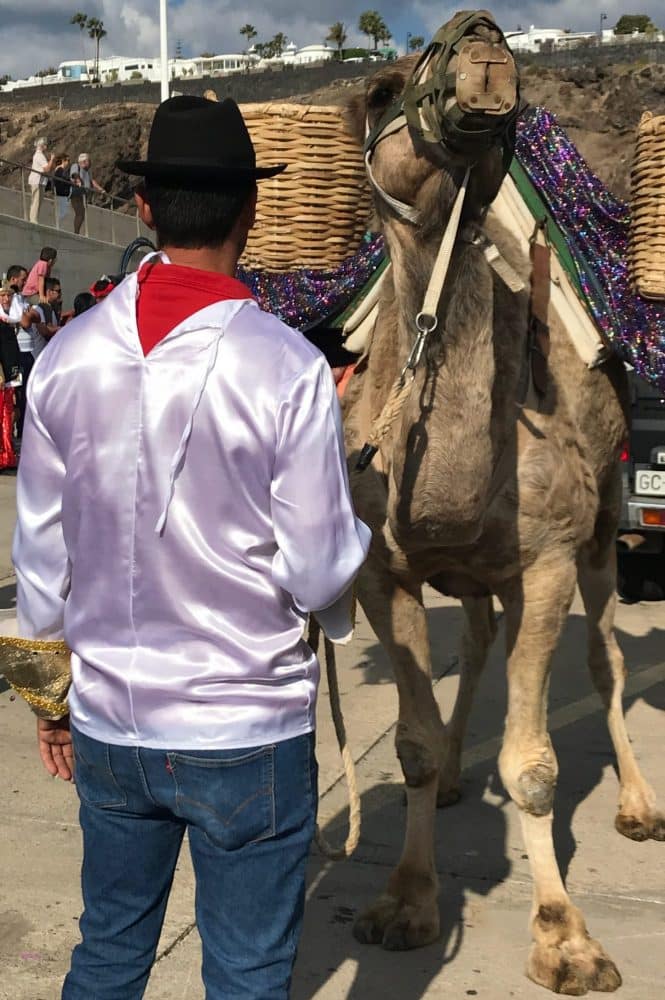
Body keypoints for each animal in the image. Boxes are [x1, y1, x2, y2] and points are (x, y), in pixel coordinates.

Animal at [339, 22, 664, 996]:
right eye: (380, 90)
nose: (482, 41)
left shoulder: (549, 559)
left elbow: (532, 765)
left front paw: (565, 939)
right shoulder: (381, 572)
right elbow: (407, 746)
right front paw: (406, 902)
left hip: (597, 537)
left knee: (604, 662)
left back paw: (638, 806)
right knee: (481, 637)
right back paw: (453, 775)